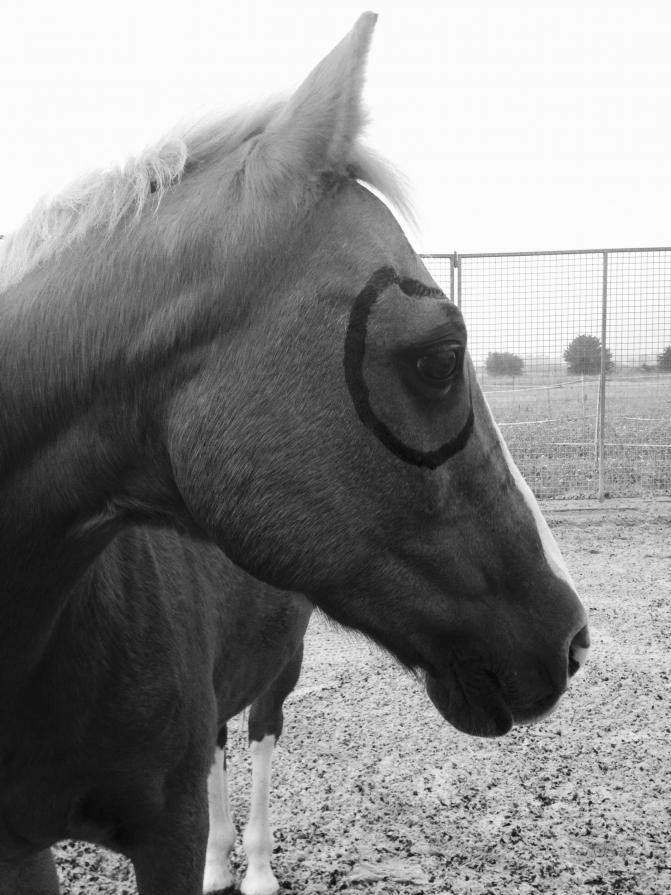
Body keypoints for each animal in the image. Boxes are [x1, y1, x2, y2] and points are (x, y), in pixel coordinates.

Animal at [0, 12, 588, 895]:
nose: (573, 639)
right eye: (439, 358)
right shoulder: (27, 848)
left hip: (283, 669)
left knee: (262, 737)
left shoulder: (161, 831)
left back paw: (252, 867)